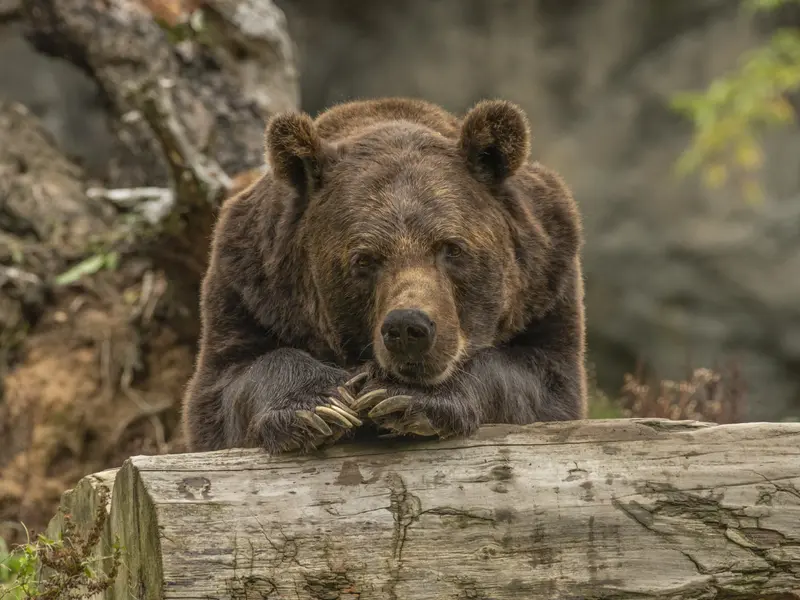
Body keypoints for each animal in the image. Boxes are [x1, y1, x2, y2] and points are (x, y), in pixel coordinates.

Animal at [184, 96, 592, 452]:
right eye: (364, 259)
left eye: (451, 248)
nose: (408, 328)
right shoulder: (250, 287)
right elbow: (227, 385)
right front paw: (320, 405)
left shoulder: (546, 283)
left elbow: (541, 380)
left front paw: (403, 396)